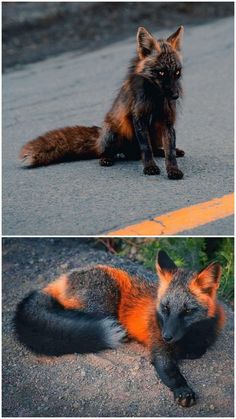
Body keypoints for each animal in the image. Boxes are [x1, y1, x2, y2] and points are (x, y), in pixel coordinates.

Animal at [14, 251, 225, 408]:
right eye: (165, 308)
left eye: (187, 311)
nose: (167, 336)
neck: (190, 337)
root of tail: (62, 278)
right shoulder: (159, 348)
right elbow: (171, 372)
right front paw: (183, 390)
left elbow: (199, 350)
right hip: (103, 304)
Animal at [19, 25, 186, 180]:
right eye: (161, 72)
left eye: (177, 73)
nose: (176, 96)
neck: (155, 99)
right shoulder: (139, 118)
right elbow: (146, 148)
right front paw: (150, 167)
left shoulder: (167, 121)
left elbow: (169, 152)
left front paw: (173, 169)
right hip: (114, 132)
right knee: (110, 153)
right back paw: (107, 158)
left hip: (155, 133)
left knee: (154, 149)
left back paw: (166, 151)